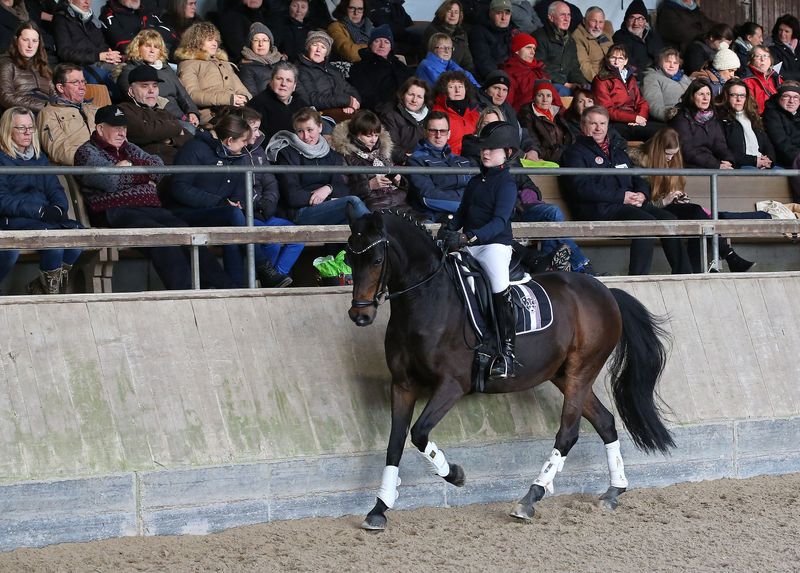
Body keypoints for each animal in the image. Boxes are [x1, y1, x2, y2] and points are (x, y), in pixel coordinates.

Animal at [345, 208, 675, 531]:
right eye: (349, 258)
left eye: (376, 260)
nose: (359, 315)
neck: (428, 300)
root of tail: (605, 292)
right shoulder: (403, 385)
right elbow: (395, 444)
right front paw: (379, 508)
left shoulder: (452, 385)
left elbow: (419, 433)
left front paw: (454, 474)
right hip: (565, 376)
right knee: (605, 422)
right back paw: (614, 490)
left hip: (581, 372)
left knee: (568, 433)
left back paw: (530, 498)